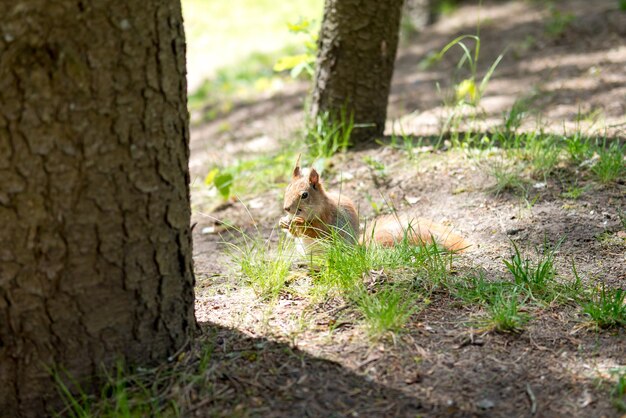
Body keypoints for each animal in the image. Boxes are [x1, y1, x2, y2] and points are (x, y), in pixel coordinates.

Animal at [280, 157, 468, 255]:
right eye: (287, 189)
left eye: (304, 195)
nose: (286, 208)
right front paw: (284, 223)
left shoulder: (328, 218)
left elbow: (318, 231)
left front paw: (299, 223)